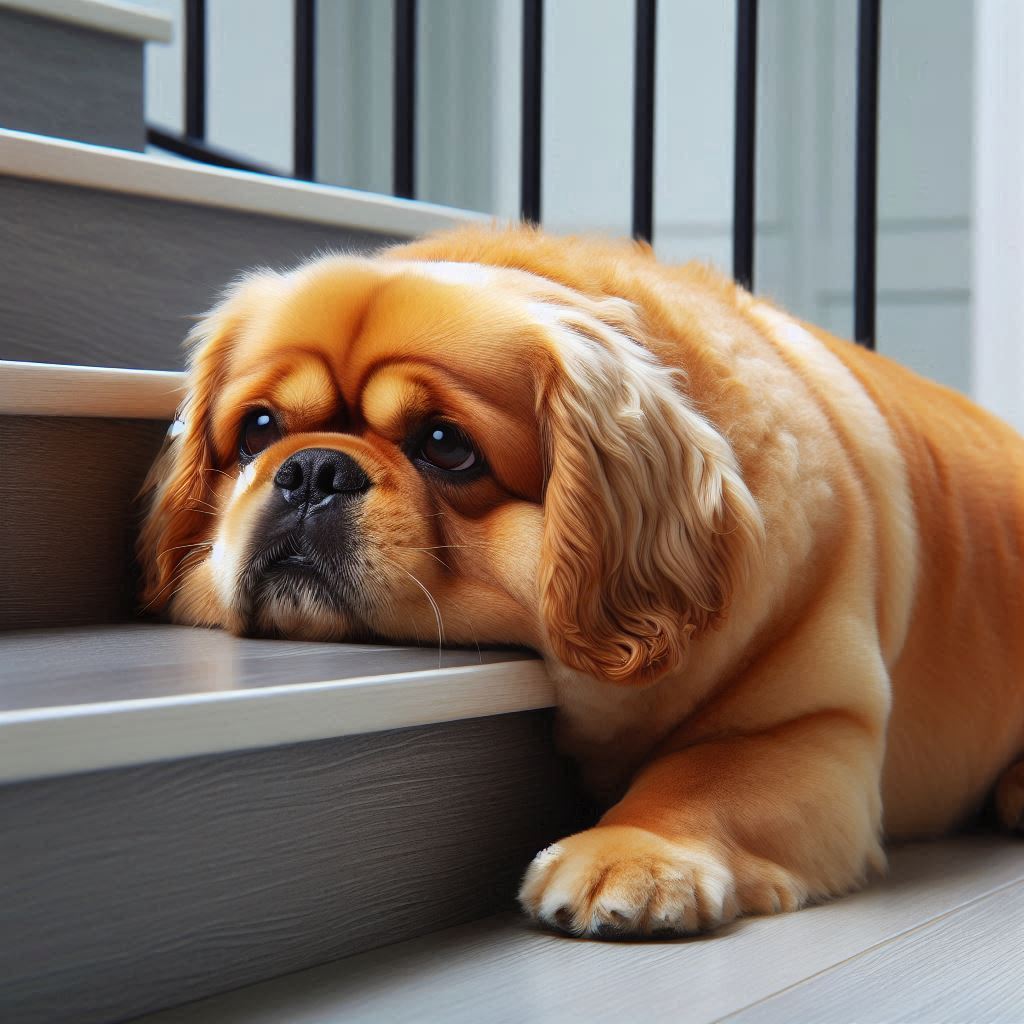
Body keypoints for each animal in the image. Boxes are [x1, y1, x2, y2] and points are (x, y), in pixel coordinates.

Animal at [142, 224, 1024, 937]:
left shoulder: (811, 724)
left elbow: (701, 779)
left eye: (446, 446)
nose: (314, 470)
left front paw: (628, 856)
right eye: (258, 429)